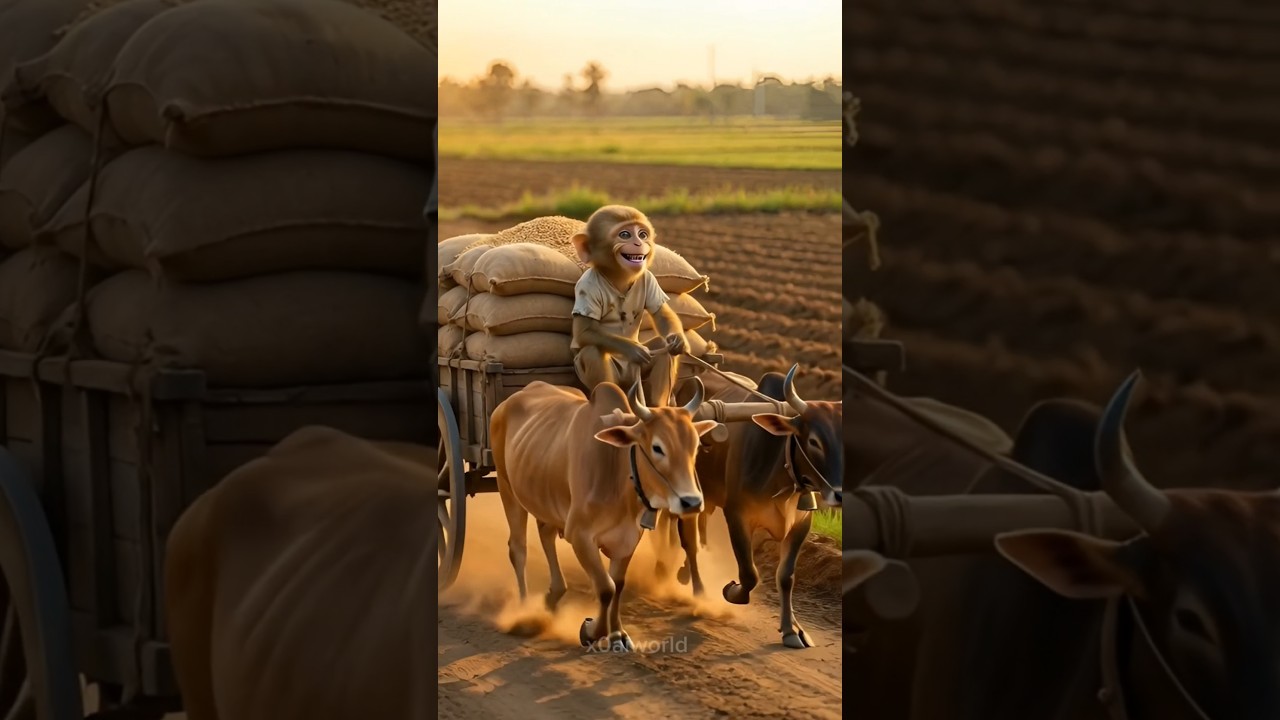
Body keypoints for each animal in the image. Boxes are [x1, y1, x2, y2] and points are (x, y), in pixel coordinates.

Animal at [570, 205, 687, 406]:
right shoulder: (587, 286)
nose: (639, 243)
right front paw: (634, 350)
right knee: (592, 351)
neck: (618, 279)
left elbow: (662, 314)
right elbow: (584, 332)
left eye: (642, 234)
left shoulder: (649, 278)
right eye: (625, 235)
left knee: (662, 350)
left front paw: (677, 340)